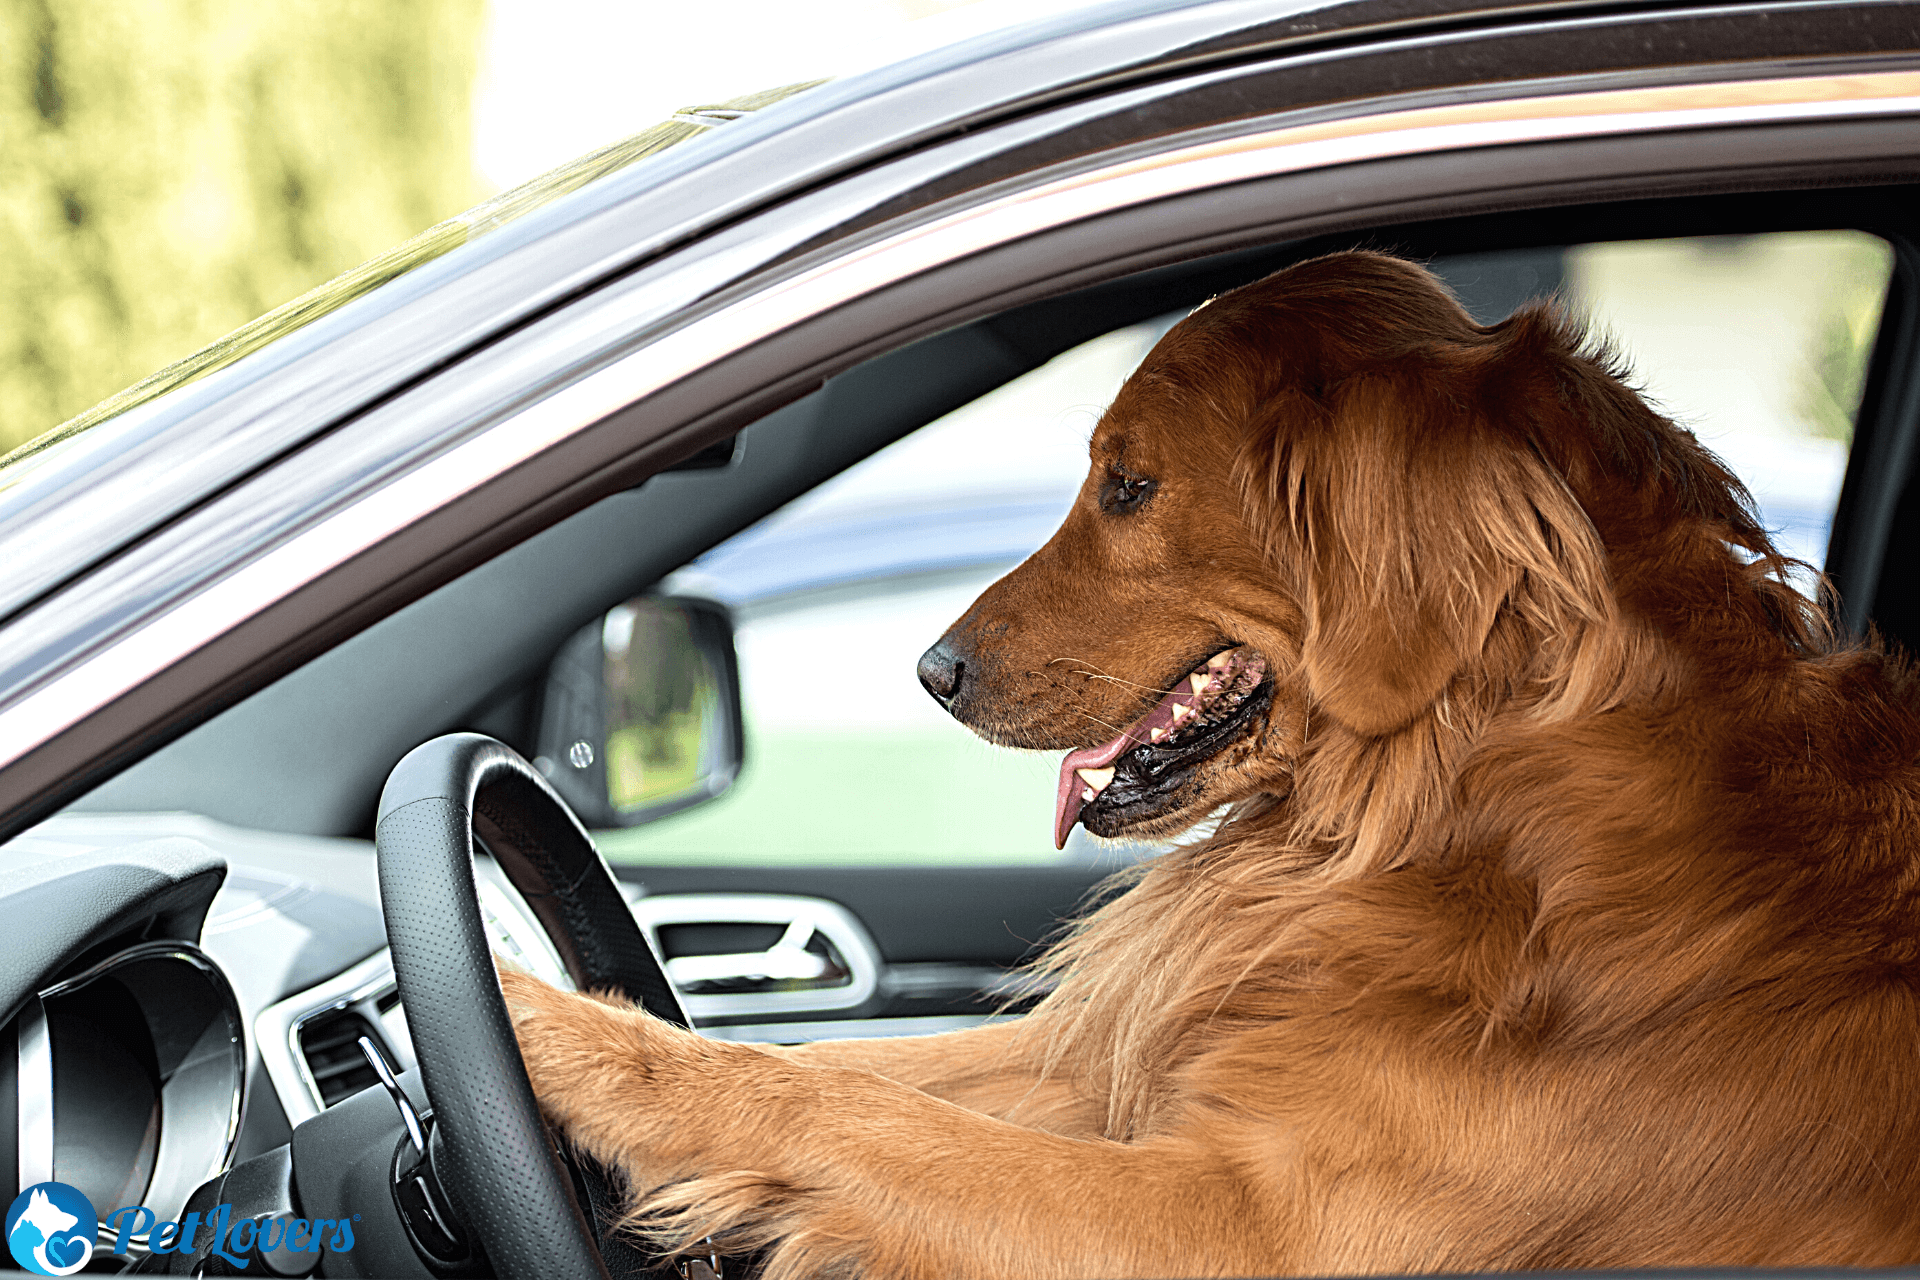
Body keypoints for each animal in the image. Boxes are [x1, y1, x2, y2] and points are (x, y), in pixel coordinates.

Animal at [499, 253, 1920, 1280]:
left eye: (1128, 485)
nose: (930, 670)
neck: (1465, 801)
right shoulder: (1144, 1054)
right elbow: (834, 1068)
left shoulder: (1249, 1223)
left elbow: (855, 1113)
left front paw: (528, 1022)